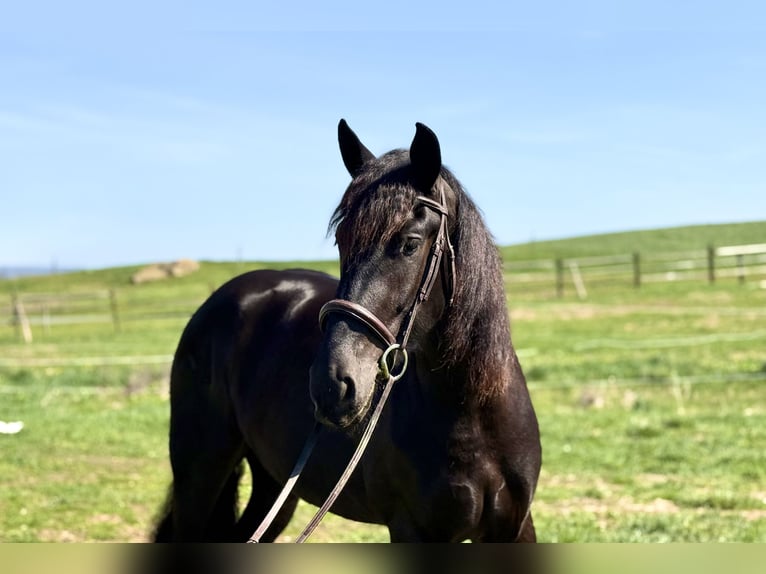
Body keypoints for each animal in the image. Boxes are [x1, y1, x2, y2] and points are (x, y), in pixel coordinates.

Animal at [152, 120, 541, 542]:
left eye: (409, 243)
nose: (331, 384)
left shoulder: (516, 527)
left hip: (275, 485)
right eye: (341, 240)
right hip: (200, 474)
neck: (471, 414)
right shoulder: (412, 530)